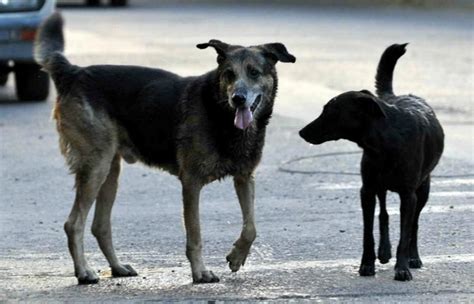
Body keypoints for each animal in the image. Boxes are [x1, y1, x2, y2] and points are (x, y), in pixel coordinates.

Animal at [34, 12, 292, 284]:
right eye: (229, 74)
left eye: (254, 72)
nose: (238, 99)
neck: (219, 110)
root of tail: (74, 73)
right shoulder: (191, 183)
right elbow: (195, 235)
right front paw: (200, 272)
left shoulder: (245, 177)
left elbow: (251, 226)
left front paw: (236, 256)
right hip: (96, 167)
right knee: (74, 224)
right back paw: (84, 272)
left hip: (110, 171)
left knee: (99, 226)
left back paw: (117, 267)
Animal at [300, 44, 444, 282]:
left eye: (331, 111)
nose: (302, 132)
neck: (383, 143)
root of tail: (395, 96)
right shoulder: (366, 191)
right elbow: (368, 232)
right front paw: (367, 264)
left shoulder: (409, 195)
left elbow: (405, 233)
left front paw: (402, 267)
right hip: (380, 186)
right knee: (383, 214)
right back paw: (384, 251)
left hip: (423, 189)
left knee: (414, 224)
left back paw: (413, 257)